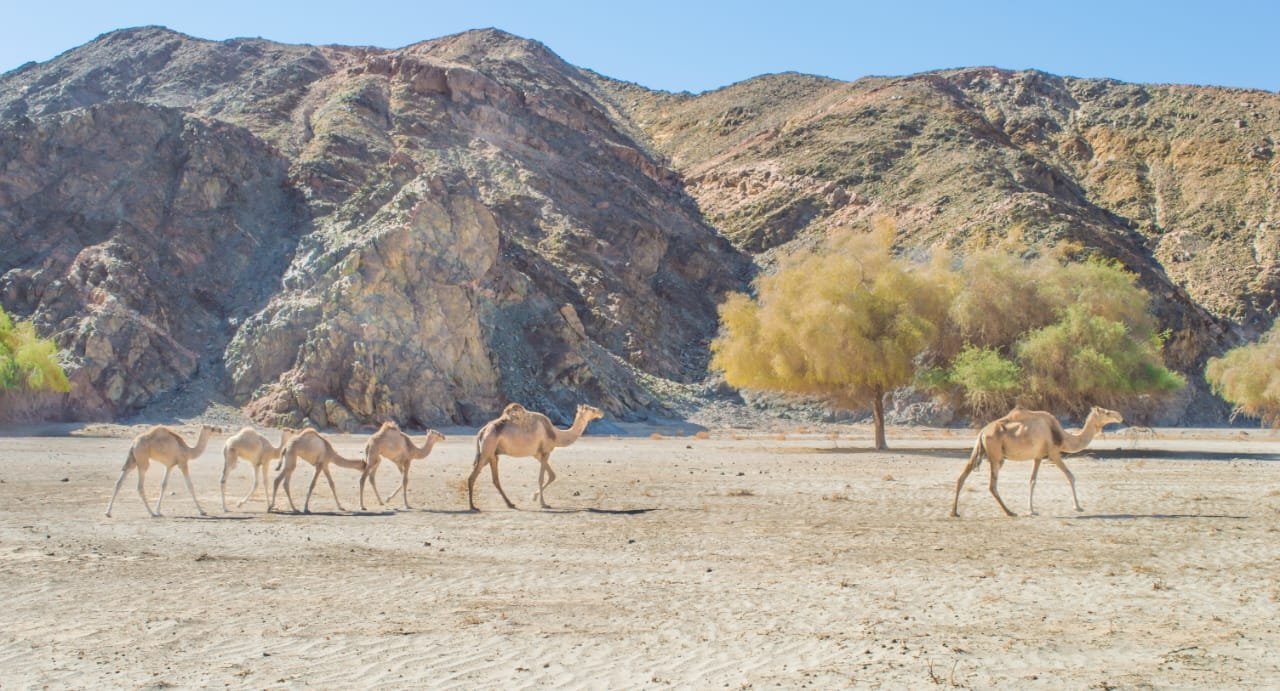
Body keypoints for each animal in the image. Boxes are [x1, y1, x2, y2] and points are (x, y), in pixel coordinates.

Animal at [467, 403, 604, 511]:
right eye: (590, 409)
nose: (600, 411)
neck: (556, 435)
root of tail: (483, 430)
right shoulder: (545, 451)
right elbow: (542, 478)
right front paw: (543, 503)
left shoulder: (537, 454)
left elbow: (552, 475)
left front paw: (534, 497)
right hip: (486, 450)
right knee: (472, 477)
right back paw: (473, 506)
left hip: (492, 455)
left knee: (495, 479)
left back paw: (510, 504)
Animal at [951, 406, 1123, 517]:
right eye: (1107, 412)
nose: (1120, 416)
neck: (1062, 436)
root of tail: (982, 432)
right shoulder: (1053, 453)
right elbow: (1070, 476)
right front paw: (1078, 507)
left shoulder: (1038, 456)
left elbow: (1032, 481)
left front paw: (1031, 510)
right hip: (996, 456)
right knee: (992, 485)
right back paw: (1010, 512)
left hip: (980, 450)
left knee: (962, 476)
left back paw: (954, 512)